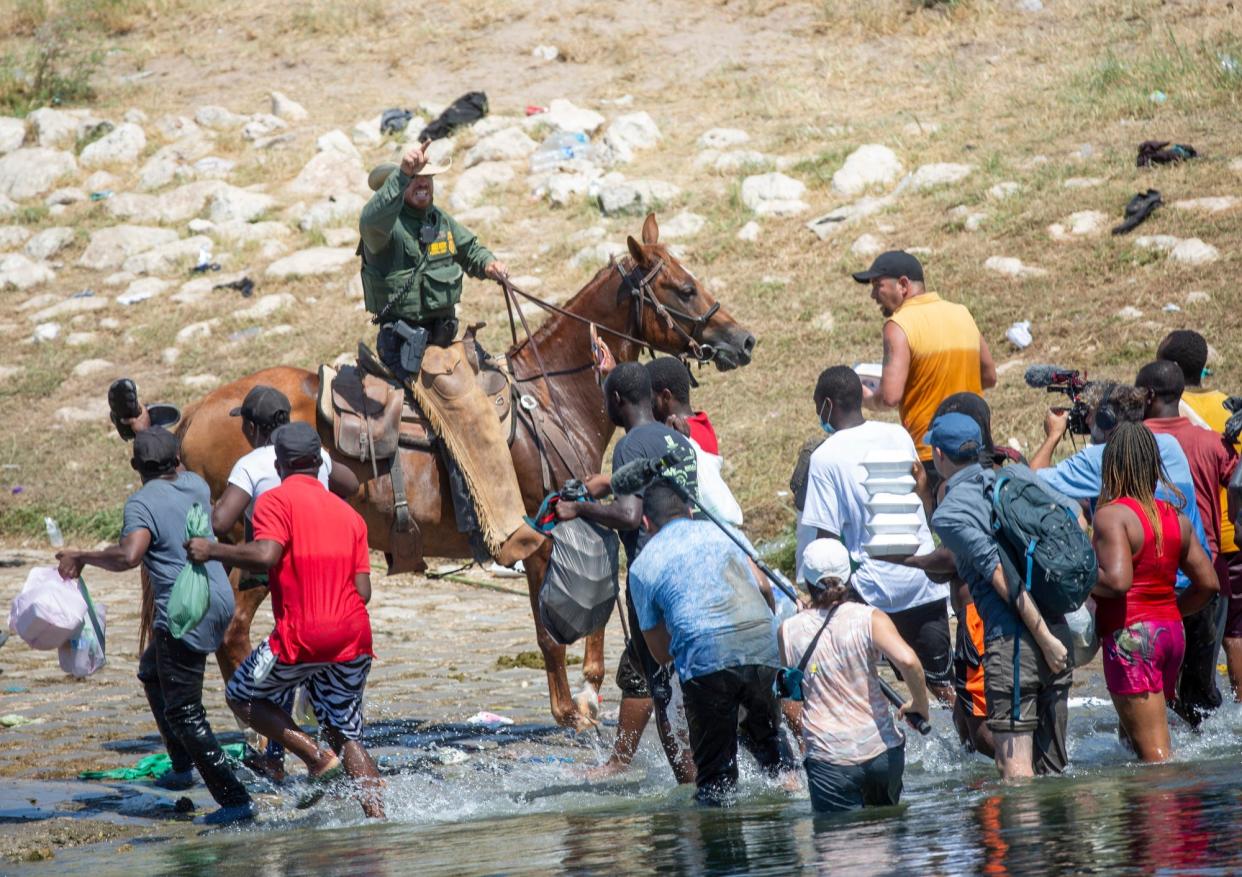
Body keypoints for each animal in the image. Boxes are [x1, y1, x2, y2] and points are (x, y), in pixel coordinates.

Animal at [175, 214, 755, 725]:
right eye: (684, 288)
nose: (744, 340)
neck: (553, 398)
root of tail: (196, 410)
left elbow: (603, 595)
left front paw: (590, 692)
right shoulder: (540, 531)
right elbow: (552, 630)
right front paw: (572, 710)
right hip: (254, 551)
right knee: (232, 635)